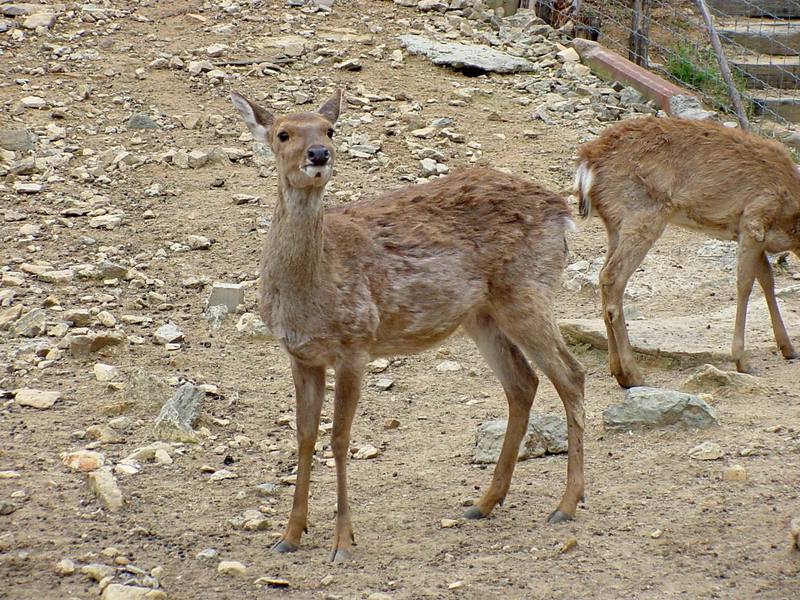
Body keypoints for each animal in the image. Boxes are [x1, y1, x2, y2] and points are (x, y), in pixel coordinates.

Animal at [231, 89, 588, 564]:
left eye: (330, 129)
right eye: (282, 133)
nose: (319, 154)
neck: (310, 288)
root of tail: (563, 211)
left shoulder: (356, 342)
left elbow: (340, 438)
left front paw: (342, 542)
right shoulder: (301, 355)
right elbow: (305, 436)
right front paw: (289, 535)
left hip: (528, 291)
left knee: (570, 375)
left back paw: (566, 504)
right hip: (482, 314)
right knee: (523, 382)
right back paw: (484, 502)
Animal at [576, 116, 800, 390]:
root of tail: (587, 162)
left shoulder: (753, 236)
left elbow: (767, 280)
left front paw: (788, 348)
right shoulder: (753, 220)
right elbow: (745, 285)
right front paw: (742, 360)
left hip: (615, 224)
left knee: (602, 277)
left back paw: (617, 371)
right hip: (643, 214)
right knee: (613, 278)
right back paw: (633, 374)